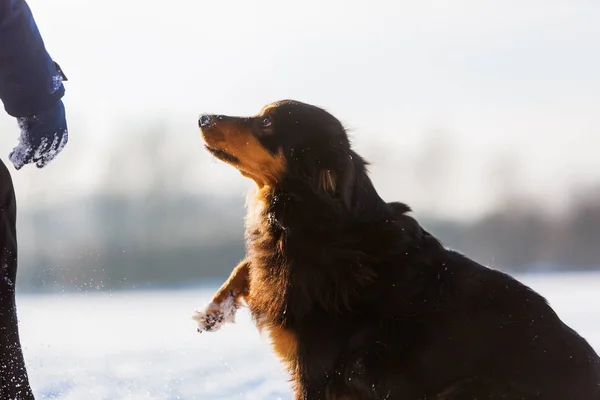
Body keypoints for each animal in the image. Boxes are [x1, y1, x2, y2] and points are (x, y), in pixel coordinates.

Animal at [193, 98, 600, 398]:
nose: (203, 117)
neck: (316, 217)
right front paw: (214, 308)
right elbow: (250, 267)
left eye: (265, 123)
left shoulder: (316, 370)